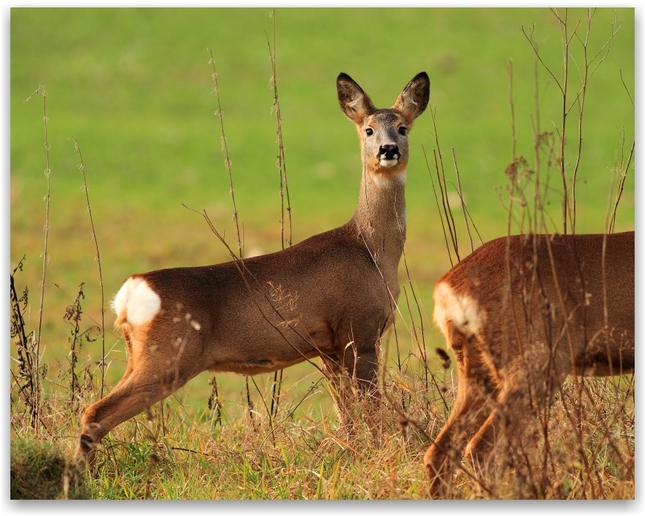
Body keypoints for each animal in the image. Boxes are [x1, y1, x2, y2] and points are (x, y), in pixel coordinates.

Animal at [74, 70, 428, 462]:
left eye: (402, 127)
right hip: (168, 356)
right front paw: (380, 454)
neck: (371, 250)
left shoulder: (330, 346)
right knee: (96, 412)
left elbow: (348, 416)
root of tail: (131, 290)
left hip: (138, 354)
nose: (388, 149)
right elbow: (372, 413)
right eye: (368, 130)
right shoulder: (358, 329)